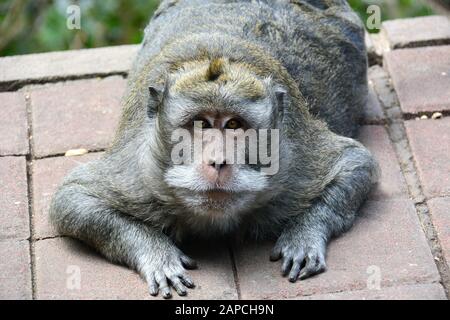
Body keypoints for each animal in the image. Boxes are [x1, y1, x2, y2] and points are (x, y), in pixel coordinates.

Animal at [50, 0, 380, 298]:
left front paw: (303, 236)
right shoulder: (139, 171)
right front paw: (158, 255)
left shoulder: (293, 160)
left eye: (233, 125)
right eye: (201, 124)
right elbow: (73, 201)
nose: (218, 161)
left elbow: (357, 164)